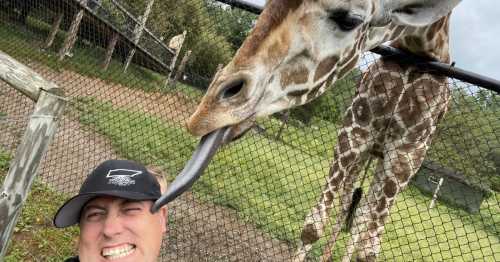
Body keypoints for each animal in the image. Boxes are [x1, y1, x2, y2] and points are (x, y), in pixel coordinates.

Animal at [294, 14, 452, 262]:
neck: (420, 51)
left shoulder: (408, 153)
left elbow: (368, 250)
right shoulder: (356, 129)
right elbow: (313, 225)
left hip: (385, 161)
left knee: (362, 214)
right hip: (367, 153)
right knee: (349, 203)